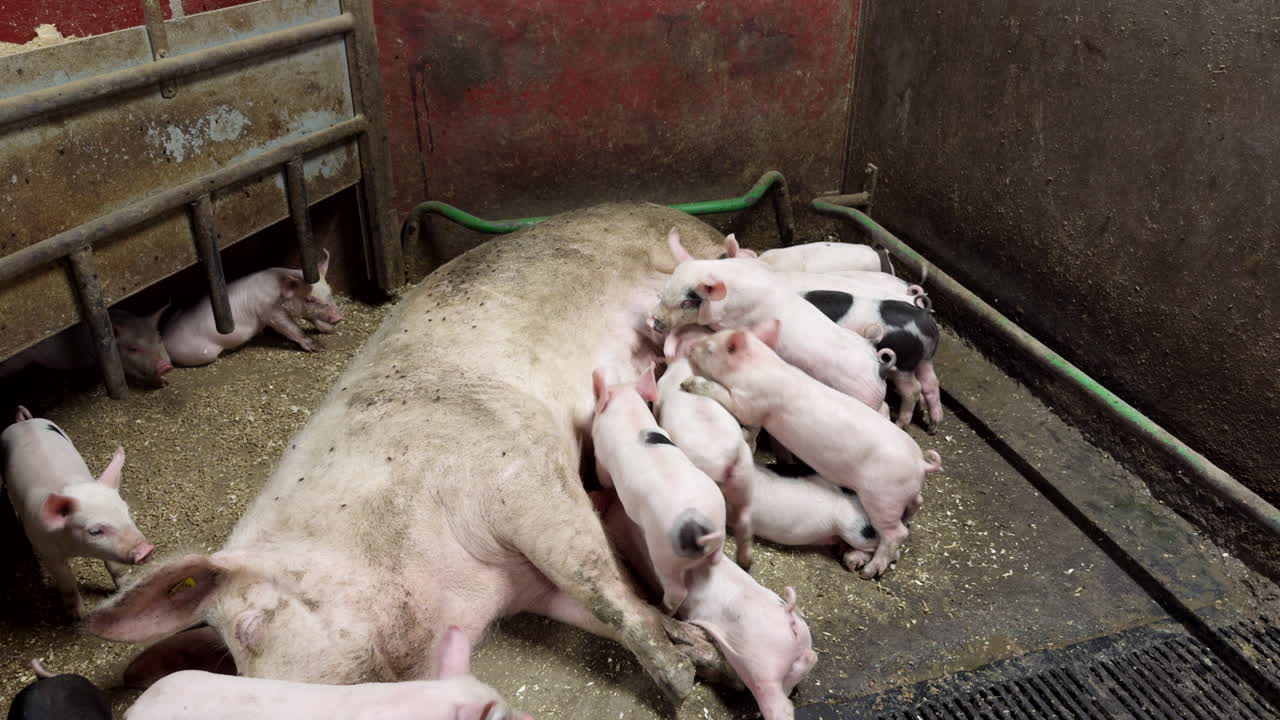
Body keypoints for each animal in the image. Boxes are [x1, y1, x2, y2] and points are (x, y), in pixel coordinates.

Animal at [2, 406, 154, 617]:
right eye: (95, 531)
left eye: (127, 512)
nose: (146, 550)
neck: (75, 549)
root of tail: (23, 422)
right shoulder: (46, 550)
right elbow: (66, 581)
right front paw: (77, 615)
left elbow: (115, 567)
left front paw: (126, 587)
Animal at [162, 250, 342, 366]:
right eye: (309, 299)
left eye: (330, 290)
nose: (338, 317)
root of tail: (164, 339)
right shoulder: (270, 312)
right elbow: (290, 328)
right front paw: (319, 347)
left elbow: (312, 318)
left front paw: (330, 330)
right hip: (202, 353)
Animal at [592, 365, 727, 614]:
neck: (629, 411)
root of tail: (700, 531)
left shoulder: (601, 458)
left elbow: (604, 479)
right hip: (718, 520)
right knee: (716, 560)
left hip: (664, 555)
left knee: (677, 592)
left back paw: (661, 609)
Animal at [655, 325, 754, 569]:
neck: (686, 363)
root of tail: (728, 459)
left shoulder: (661, 390)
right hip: (745, 476)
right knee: (745, 519)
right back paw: (745, 562)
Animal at [775, 271, 943, 429]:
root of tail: (924, 318)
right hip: (924, 360)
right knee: (930, 383)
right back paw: (933, 426)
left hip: (903, 364)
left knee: (913, 390)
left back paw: (900, 424)